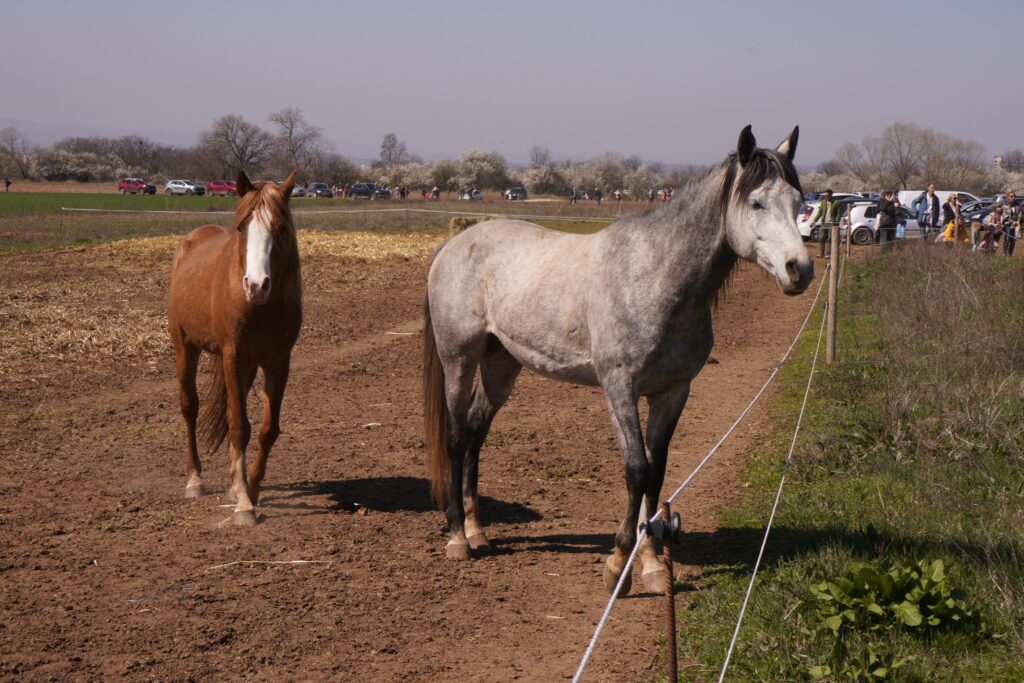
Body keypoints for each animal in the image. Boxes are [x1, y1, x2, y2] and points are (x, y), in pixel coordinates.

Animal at [167, 171, 302, 526]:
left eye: (281, 229)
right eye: (242, 227)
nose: (256, 285)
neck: (261, 308)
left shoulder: (278, 362)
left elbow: (268, 429)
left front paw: (249, 487)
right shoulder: (232, 356)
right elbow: (239, 426)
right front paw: (243, 504)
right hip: (185, 347)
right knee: (190, 407)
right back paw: (194, 480)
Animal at [423, 126, 813, 594]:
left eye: (800, 202)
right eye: (755, 203)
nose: (799, 269)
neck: (655, 278)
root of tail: (454, 244)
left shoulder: (672, 392)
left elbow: (657, 472)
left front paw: (652, 565)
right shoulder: (619, 388)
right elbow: (637, 469)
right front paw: (618, 564)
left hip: (501, 366)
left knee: (477, 432)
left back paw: (478, 530)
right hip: (459, 359)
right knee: (456, 438)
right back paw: (458, 537)